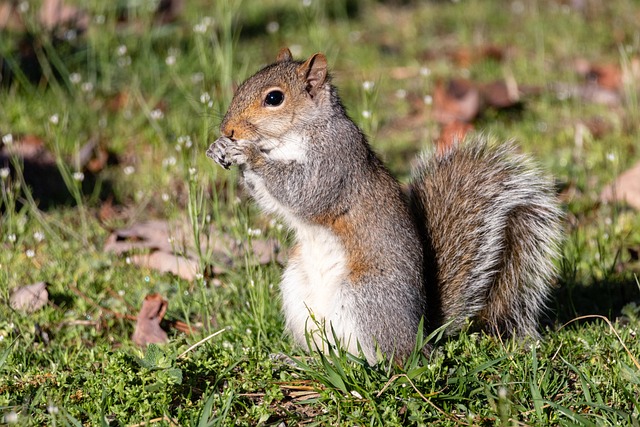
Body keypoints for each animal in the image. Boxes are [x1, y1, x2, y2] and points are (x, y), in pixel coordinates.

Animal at [206, 48, 563, 364]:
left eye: (274, 99)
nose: (228, 129)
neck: (290, 138)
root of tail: (421, 333)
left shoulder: (334, 161)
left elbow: (303, 192)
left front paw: (247, 153)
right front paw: (220, 149)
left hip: (366, 297)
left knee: (391, 359)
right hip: (298, 291)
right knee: (329, 353)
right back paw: (300, 360)